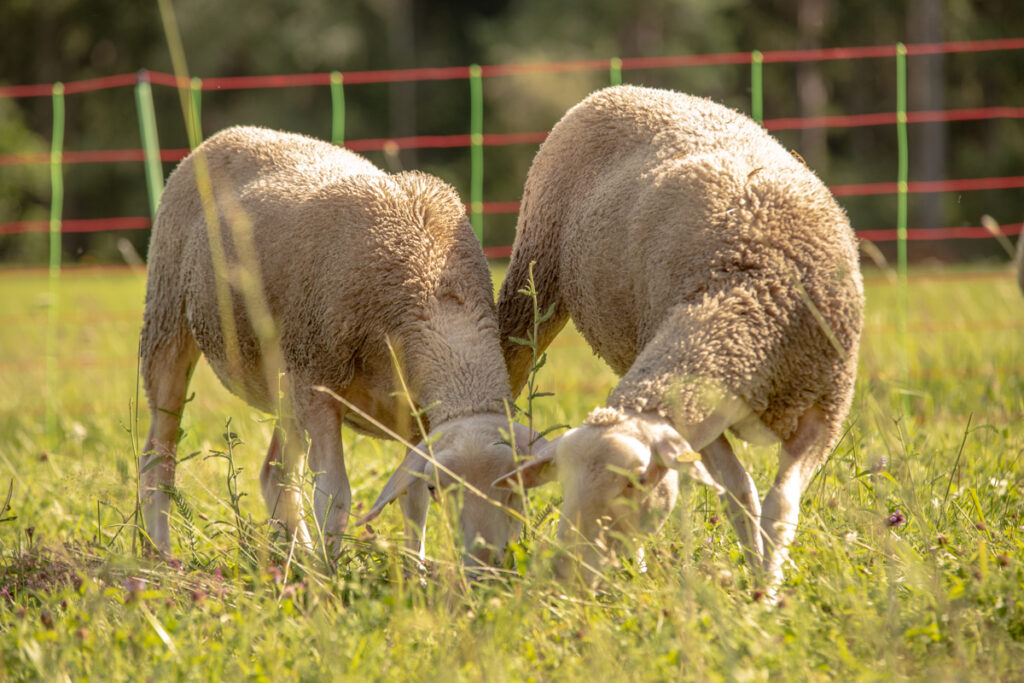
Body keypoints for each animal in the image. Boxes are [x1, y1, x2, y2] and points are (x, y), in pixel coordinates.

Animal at [141, 125, 536, 569]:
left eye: (518, 490)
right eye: (442, 489)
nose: (486, 566)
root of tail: (233, 133)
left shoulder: (416, 418)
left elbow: (411, 501)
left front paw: (414, 571)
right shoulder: (319, 387)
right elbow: (334, 497)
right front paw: (331, 573)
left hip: (286, 379)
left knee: (275, 472)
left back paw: (295, 559)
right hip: (167, 318)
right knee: (158, 457)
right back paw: (161, 553)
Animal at [491, 82, 860, 589]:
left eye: (637, 482)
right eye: (563, 482)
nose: (567, 573)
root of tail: (620, 89)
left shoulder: (826, 410)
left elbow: (778, 506)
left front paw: (766, 586)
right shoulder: (703, 412)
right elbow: (740, 495)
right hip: (536, 275)